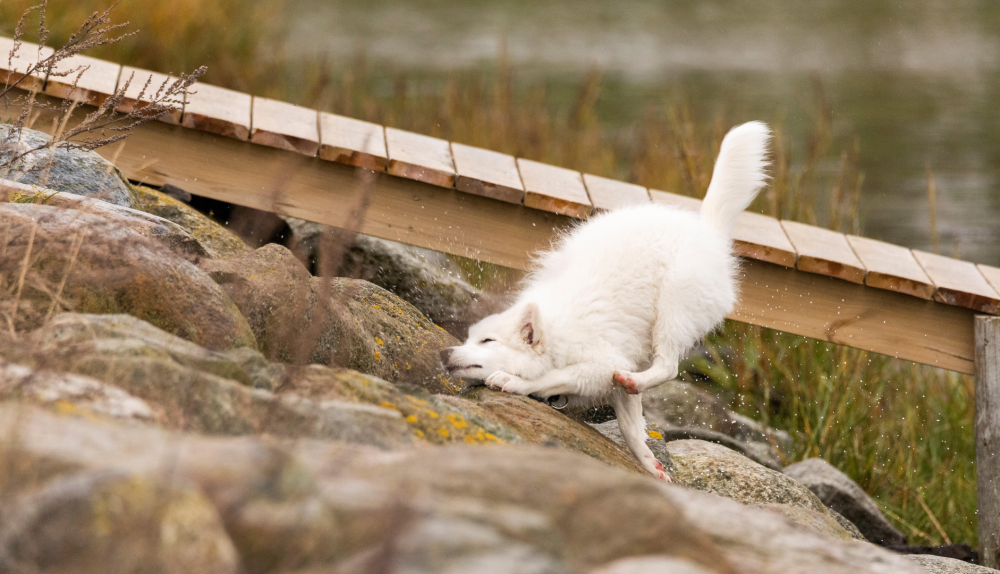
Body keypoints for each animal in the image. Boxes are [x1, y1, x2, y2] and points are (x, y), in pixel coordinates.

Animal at [440, 121, 771, 480]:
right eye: (469, 337)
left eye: (487, 341)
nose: (444, 352)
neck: (556, 328)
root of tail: (707, 231)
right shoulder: (617, 371)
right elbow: (629, 426)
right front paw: (650, 463)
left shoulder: (602, 362)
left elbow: (556, 377)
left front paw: (514, 381)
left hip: (674, 305)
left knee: (667, 366)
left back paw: (636, 379)